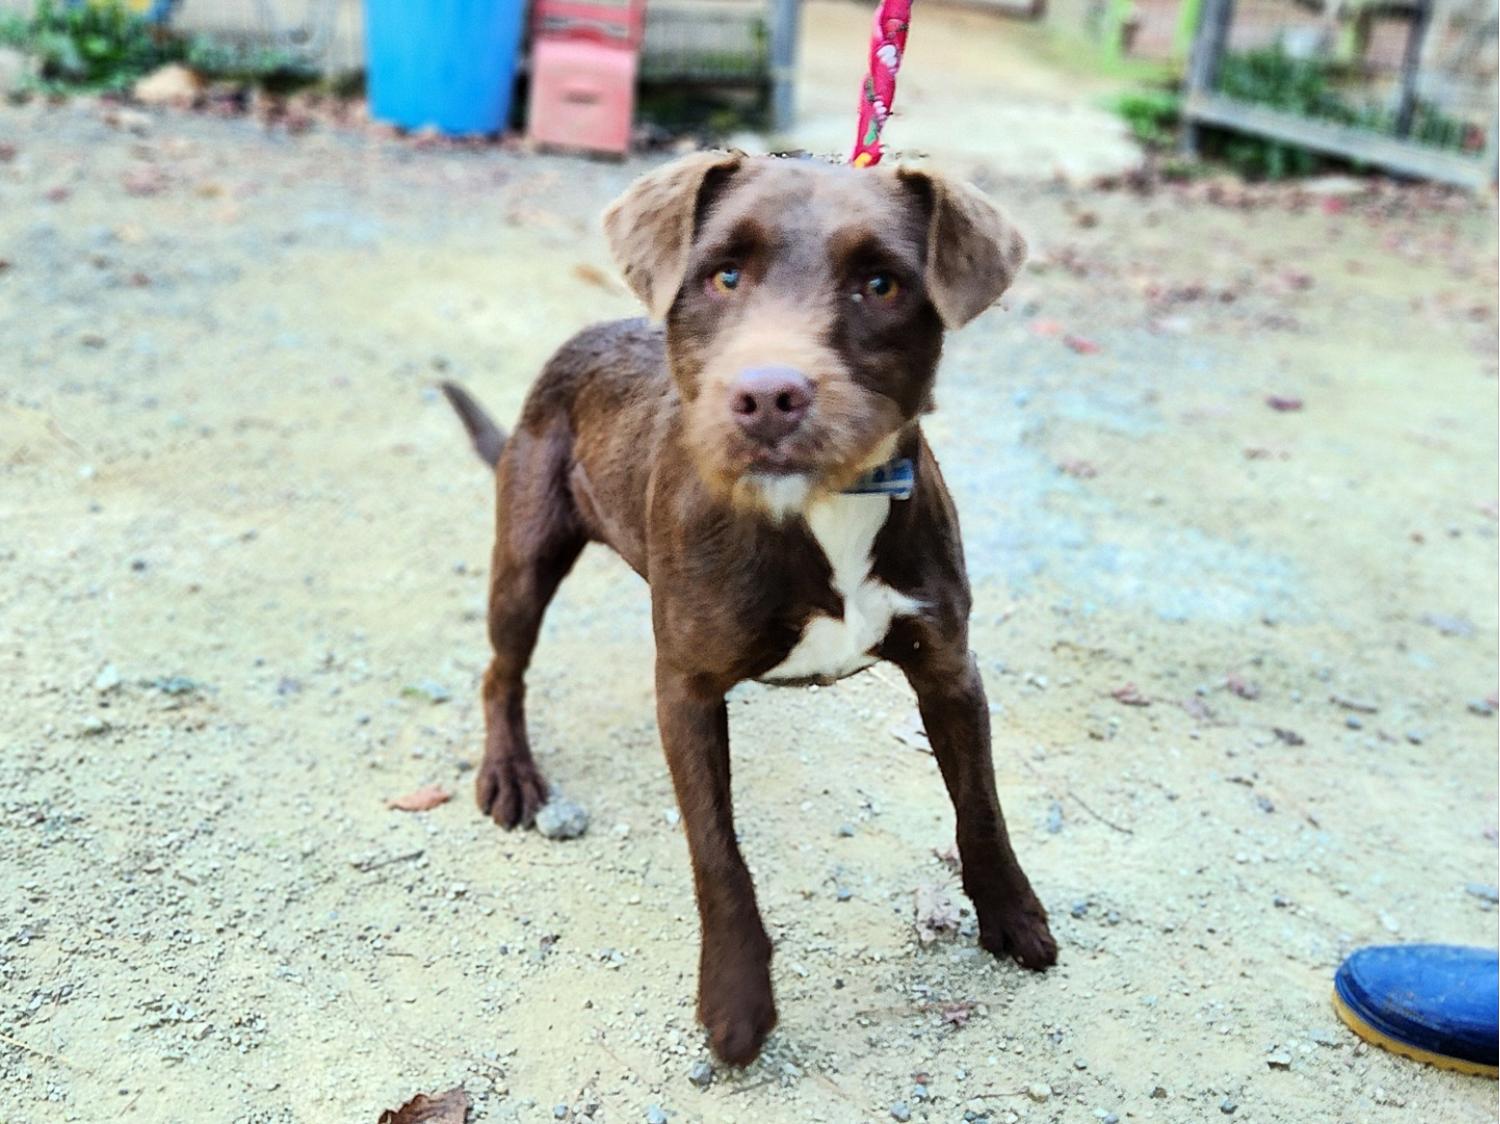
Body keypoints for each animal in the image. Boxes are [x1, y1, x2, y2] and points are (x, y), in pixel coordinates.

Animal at [441, 153, 1056, 1068]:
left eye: (881, 284)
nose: (769, 396)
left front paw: (1012, 915)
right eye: (724, 275)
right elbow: (716, 852)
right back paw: (511, 772)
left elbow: (980, 806)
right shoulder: (687, 687)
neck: (825, 507)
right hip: (525, 556)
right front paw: (736, 1002)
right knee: (500, 670)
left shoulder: (950, 667)